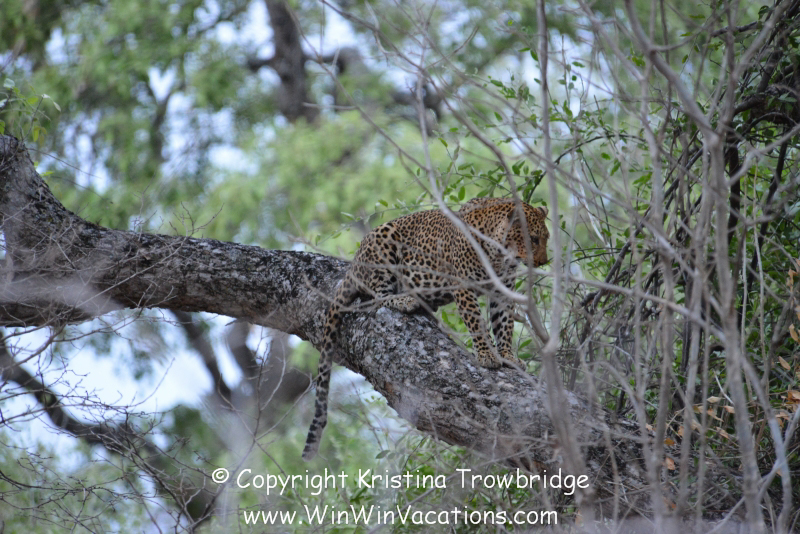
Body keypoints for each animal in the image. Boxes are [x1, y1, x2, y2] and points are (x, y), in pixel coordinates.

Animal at [302, 197, 549, 460]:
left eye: (546, 238)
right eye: (533, 239)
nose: (543, 262)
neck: (501, 253)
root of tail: (355, 263)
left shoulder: (503, 290)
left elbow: (504, 325)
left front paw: (508, 356)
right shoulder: (463, 285)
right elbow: (476, 322)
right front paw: (486, 354)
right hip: (384, 240)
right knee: (378, 295)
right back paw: (405, 300)